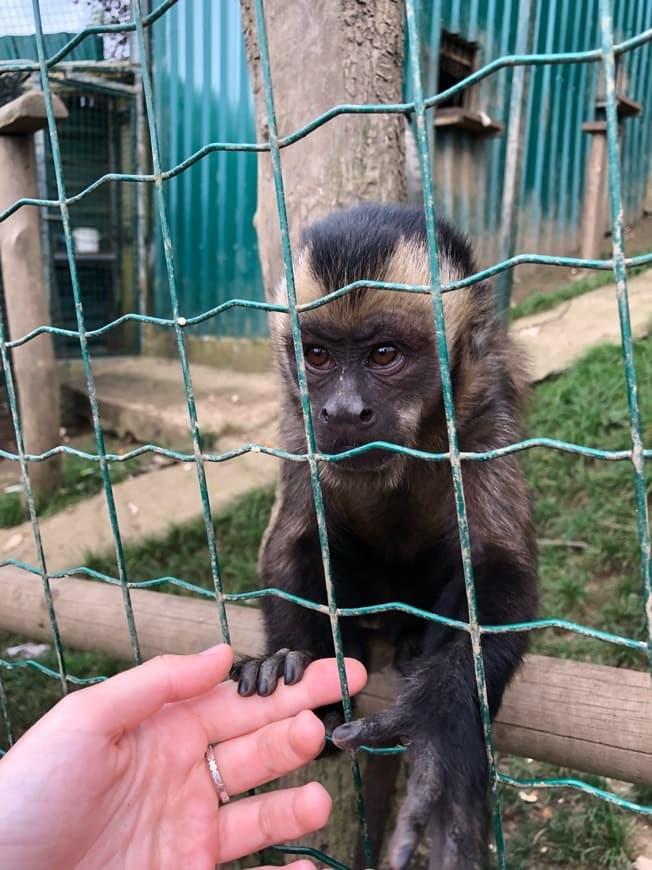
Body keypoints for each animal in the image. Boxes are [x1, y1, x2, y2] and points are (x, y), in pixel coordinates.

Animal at [232, 206, 536, 870]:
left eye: (385, 354)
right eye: (318, 356)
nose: (344, 412)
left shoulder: (484, 413)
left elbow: (503, 570)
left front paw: (440, 726)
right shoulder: (300, 425)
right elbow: (290, 547)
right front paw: (291, 659)